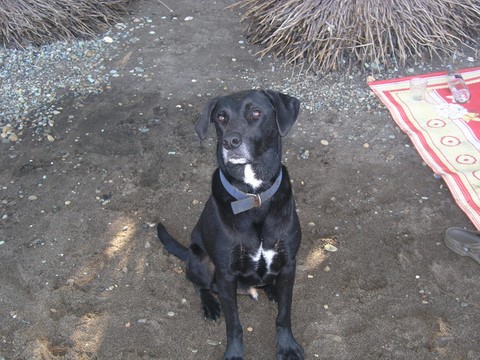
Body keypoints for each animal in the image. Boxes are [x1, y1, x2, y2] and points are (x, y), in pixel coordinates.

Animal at [158, 90, 304, 360]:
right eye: (220, 117)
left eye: (256, 112)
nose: (230, 142)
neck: (254, 196)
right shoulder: (225, 273)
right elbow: (233, 324)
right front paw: (234, 353)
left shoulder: (289, 263)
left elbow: (284, 315)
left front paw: (287, 346)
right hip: (201, 260)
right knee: (200, 284)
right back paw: (209, 304)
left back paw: (271, 290)